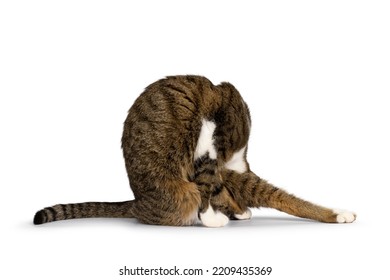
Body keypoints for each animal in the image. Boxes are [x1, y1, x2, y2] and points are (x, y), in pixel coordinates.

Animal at [33, 75, 356, 228]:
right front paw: (213, 218)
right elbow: (209, 188)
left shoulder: (227, 164)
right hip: (182, 185)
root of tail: (138, 203)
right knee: (195, 192)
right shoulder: (208, 149)